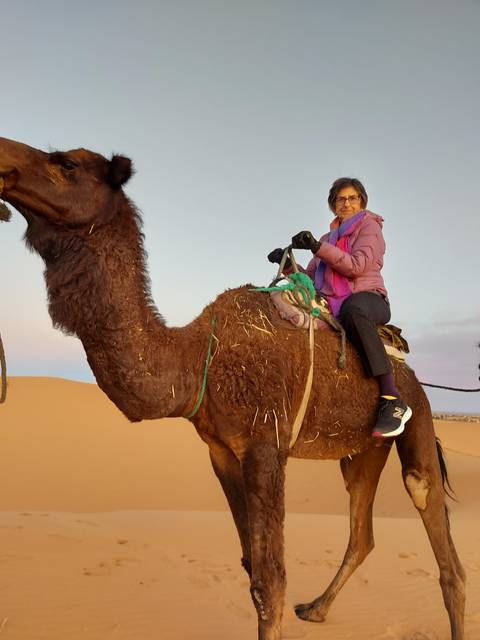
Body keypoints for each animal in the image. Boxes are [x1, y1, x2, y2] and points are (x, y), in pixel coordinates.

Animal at [0, 136, 465, 640]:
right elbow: (250, 568)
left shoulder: (266, 444)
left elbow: (270, 581)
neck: (197, 357)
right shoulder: (221, 450)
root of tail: (411, 373)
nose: (3, 157)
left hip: (417, 415)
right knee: (362, 532)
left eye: (66, 163)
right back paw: (316, 609)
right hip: (362, 451)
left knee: (432, 518)